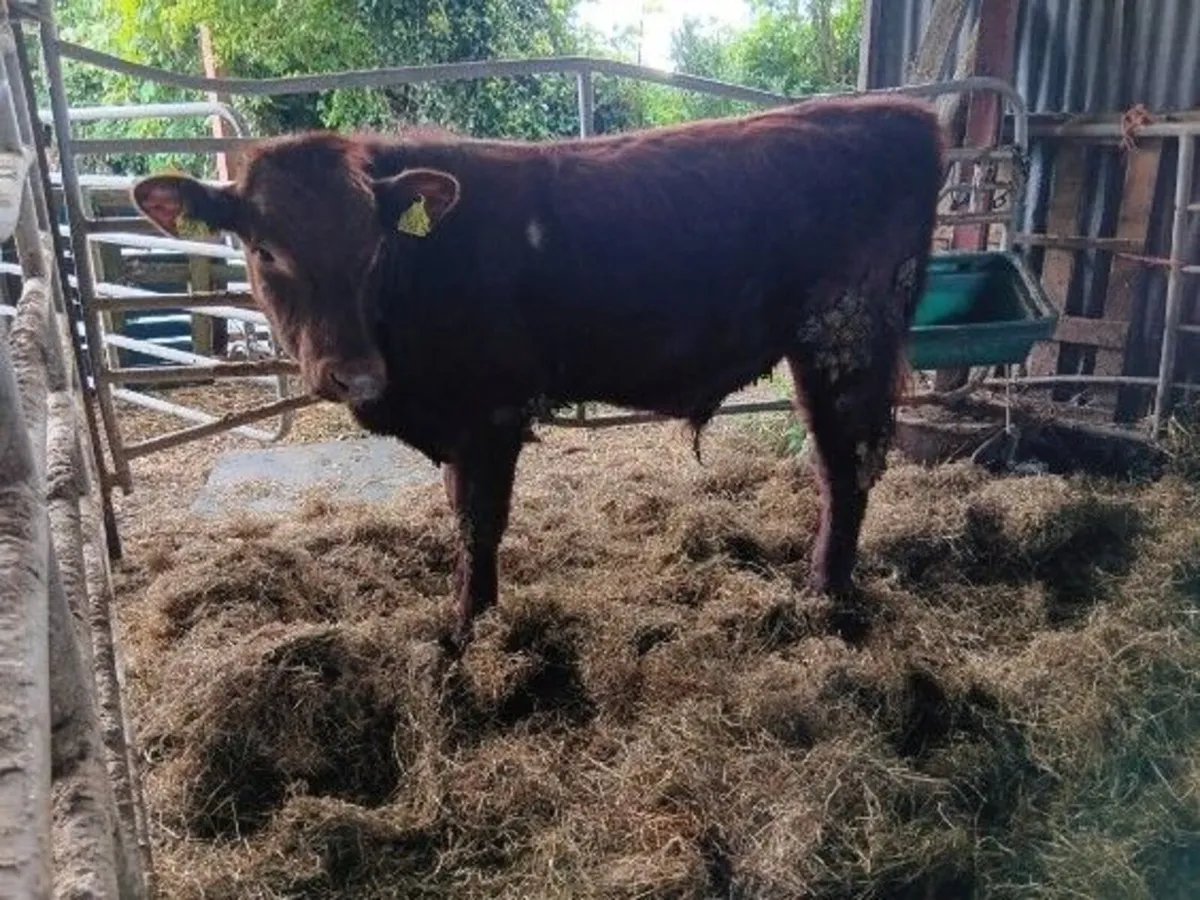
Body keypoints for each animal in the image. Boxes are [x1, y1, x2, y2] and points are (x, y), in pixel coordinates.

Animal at [131, 93, 946, 647]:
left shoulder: (488, 414)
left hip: (845, 341)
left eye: (373, 243)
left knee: (847, 470)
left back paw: (823, 595)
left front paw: (470, 628)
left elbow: (478, 523)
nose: (352, 373)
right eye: (264, 249)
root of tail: (899, 114)